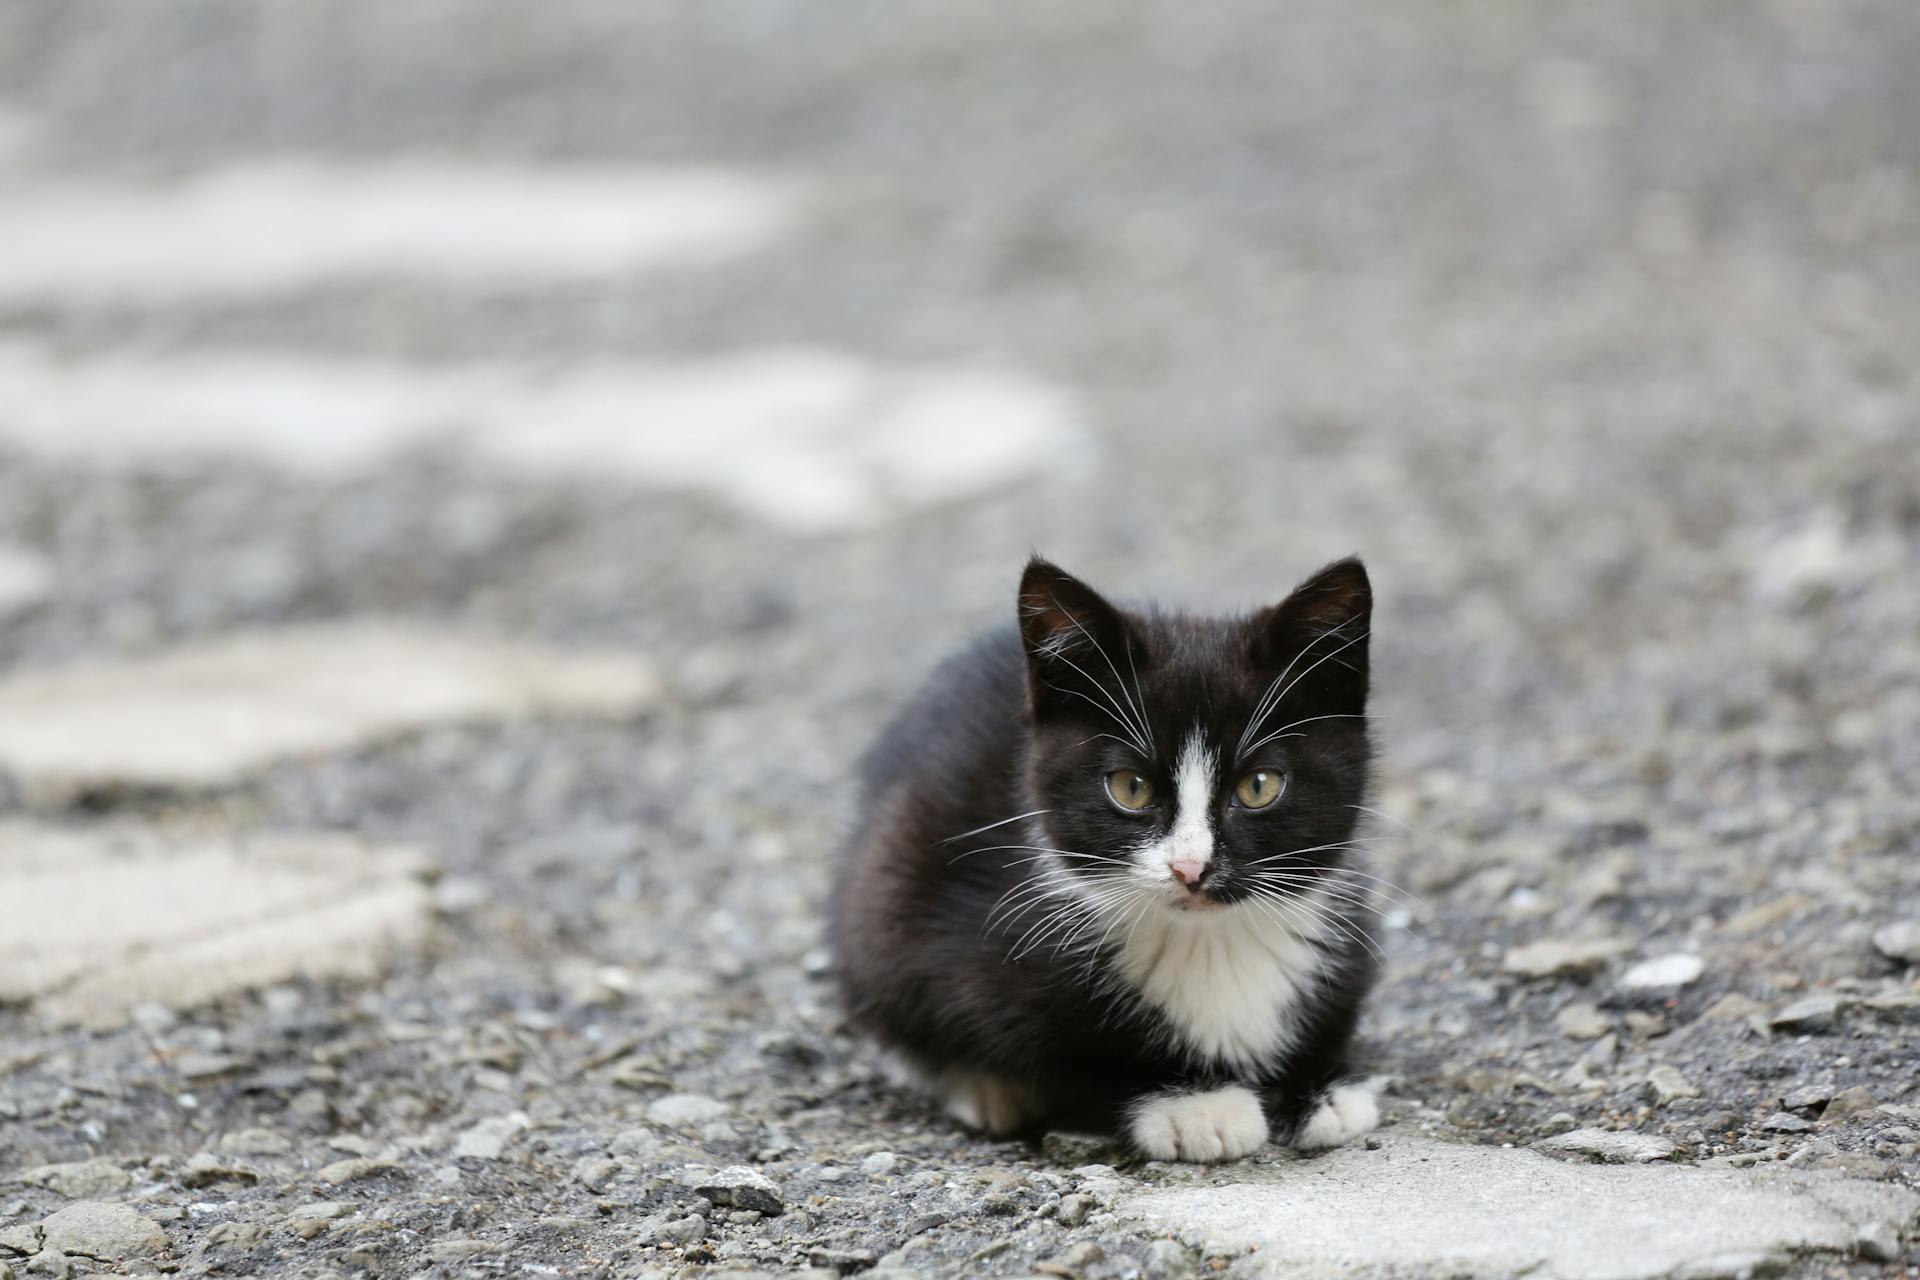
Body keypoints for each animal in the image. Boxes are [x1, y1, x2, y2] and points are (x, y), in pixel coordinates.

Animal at [833, 556, 1390, 1159]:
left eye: (1259, 786)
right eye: (1130, 787)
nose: (1190, 868)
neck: (1210, 943)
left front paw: (1320, 1089)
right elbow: (1071, 1063)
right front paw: (1193, 1106)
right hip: (886, 871)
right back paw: (984, 1090)